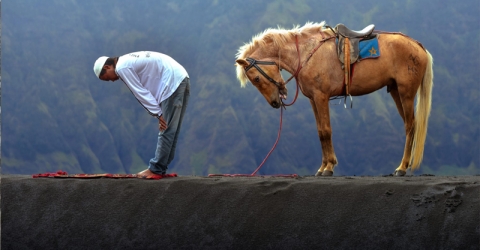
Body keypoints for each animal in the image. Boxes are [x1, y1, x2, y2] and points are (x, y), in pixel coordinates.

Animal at [236, 22, 436, 177]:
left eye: (256, 78)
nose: (275, 103)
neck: (306, 53)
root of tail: (418, 46)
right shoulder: (313, 99)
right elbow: (320, 132)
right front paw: (323, 166)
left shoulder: (321, 96)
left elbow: (326, 131)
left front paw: (329, 167)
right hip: (395, 91)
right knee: (410, 125)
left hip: (406, 92)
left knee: (410, 125)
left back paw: (402, 168)